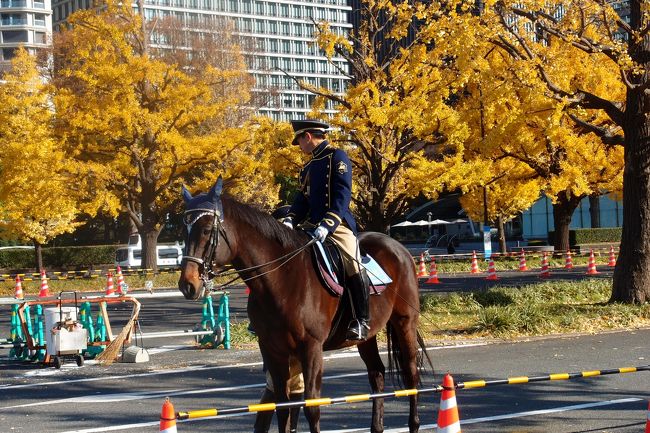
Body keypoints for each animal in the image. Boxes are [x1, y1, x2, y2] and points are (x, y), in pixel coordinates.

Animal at [177, 179, 430, 432]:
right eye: (185, 229)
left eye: (207, 230)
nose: (187, 284)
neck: (281, 278)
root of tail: (399, 248)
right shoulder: (273, 350)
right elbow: (282, 407)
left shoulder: (311, 348)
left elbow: (311, 407)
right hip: (366, 337)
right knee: (376, 374)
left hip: (405, 322)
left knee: (411, 375)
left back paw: (414, 423)